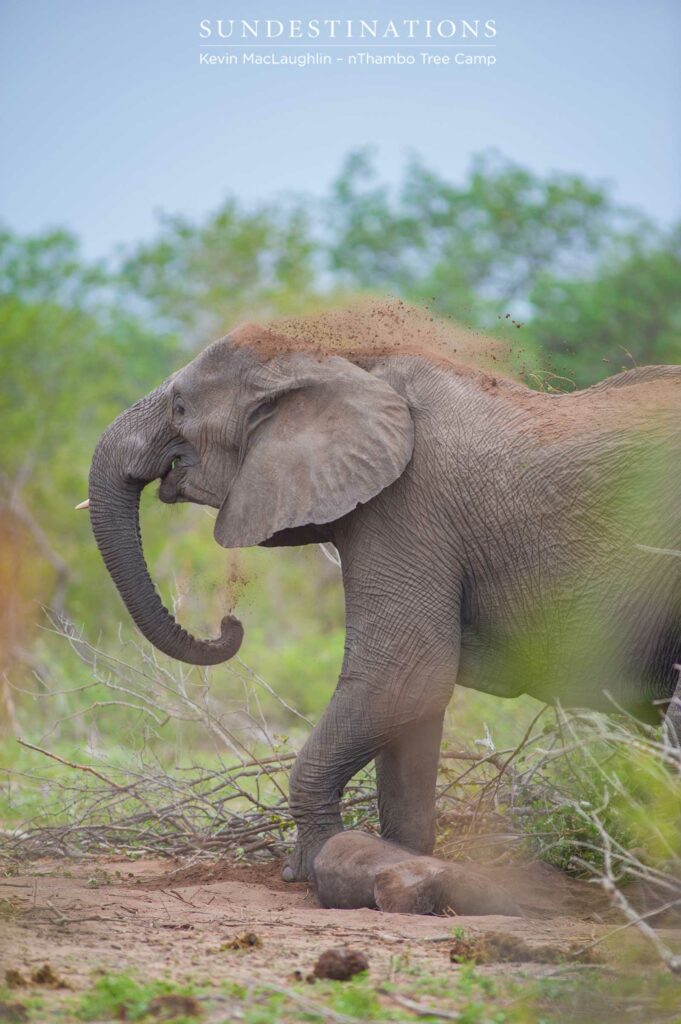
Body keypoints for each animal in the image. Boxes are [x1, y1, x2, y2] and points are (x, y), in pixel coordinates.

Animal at [84, 308, 681, 882]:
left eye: (181, 406)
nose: (230, 625)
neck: (343, 360)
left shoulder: (409, 503)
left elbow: (405, 675)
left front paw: (308, 869)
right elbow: (413, 704)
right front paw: (401, 856)